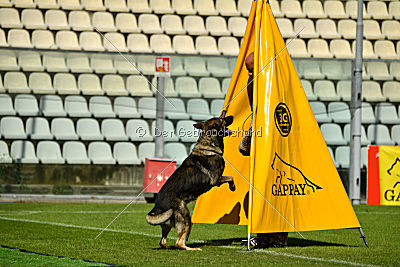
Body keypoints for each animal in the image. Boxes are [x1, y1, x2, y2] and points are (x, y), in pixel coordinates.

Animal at [146, 116, 234, 251]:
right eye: (222, 119)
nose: (231, 117)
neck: (209, 145)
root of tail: (158, 205)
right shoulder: (216, 180)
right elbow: (231, 177)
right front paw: (233, 186)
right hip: (186, 216)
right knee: (179, 243)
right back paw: (192, 249)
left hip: (168, 224)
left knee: (162, 242)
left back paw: (168, 247)